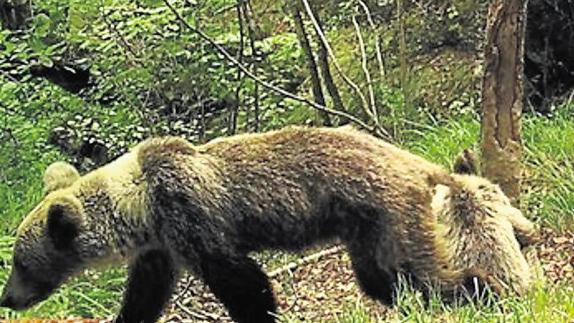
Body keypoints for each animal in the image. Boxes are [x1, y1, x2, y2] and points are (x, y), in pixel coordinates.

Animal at [1, 126, 540, 323]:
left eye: (21, 262)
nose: (8, 297)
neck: (140, 206)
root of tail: (419, 164)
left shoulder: (193, 216)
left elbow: (243, 281)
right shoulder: (162, 247)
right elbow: (145, 294)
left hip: (389, 212)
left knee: (426, 272)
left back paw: (486, 290)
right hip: (367, 233)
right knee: (386, 280)